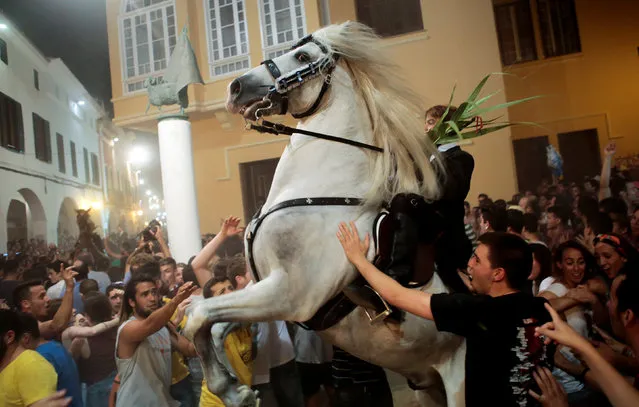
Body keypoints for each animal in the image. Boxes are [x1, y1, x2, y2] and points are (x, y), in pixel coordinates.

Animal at [182, 23, 468, 407]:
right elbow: (212, 325)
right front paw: (235, 386)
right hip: (430, 388)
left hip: (458, 383)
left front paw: (231, 390)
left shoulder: (289, 294)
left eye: (303, 56)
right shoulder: (259, 285)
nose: (236, 87)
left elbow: (197, 315)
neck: (317, 189)